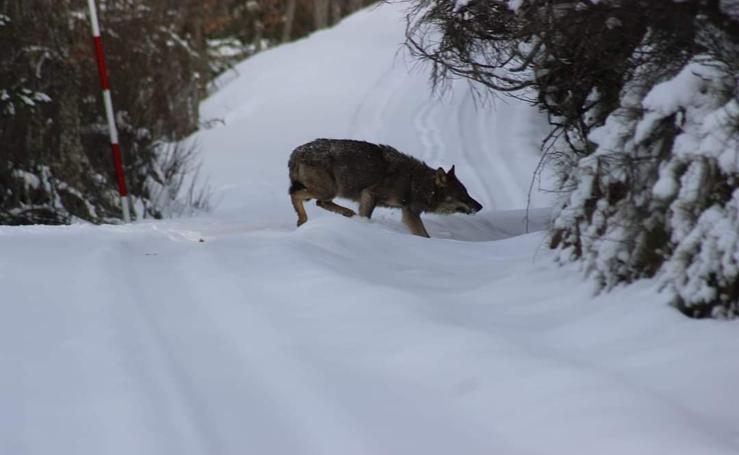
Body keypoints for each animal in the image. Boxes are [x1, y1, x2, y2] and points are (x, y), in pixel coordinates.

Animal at [286, 139, 482, 239]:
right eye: (463, 195)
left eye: (468, 193)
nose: (480, 206)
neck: (415, 182)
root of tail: (296, 152)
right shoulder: (371, 195)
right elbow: (424, 236)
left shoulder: (406, 211)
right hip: (328, 190)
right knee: (296, 195)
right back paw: (303, 220)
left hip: (327, 192)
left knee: (320, 203)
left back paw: (345, 213)